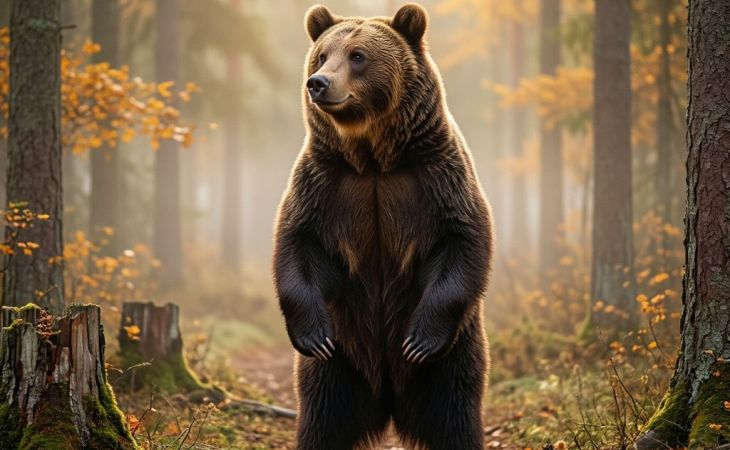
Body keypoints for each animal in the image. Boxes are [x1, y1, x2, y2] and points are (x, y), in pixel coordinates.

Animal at [273, 3, 493, 449]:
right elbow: (299, 243)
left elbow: (462, 240)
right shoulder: (325, 182)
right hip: (340, 367)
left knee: (455, 415)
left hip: (453, 361)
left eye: (357, 55)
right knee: (321, 418)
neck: (373, 158)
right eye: (322, 55)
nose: (318, 83)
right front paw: (312, 335)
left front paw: (418, 341)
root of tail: (388, 400)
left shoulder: (437, 177)